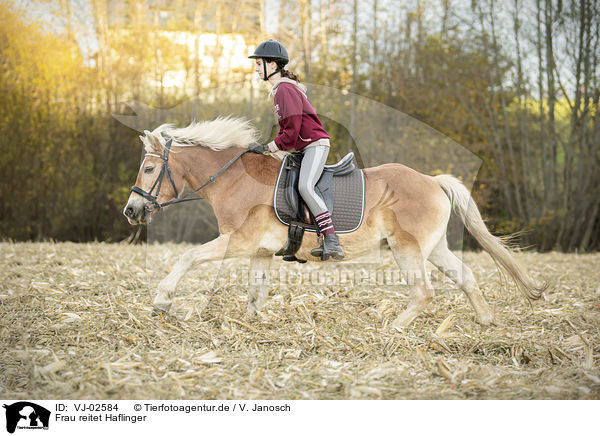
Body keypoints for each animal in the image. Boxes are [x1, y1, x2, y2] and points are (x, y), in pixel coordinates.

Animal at [124, 117, 548, 328]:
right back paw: (487, 321)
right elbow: (255, 288)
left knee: (424, 292)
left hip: (408, 248)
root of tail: (432, 180)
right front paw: (253, 322)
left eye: (149, 169)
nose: (131, 210)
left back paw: (394, 328)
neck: (233, 178)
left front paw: (161, 301)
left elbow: (187, 258)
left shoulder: (237, 241)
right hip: (435, 247)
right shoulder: (259, 250)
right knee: (466, 277)